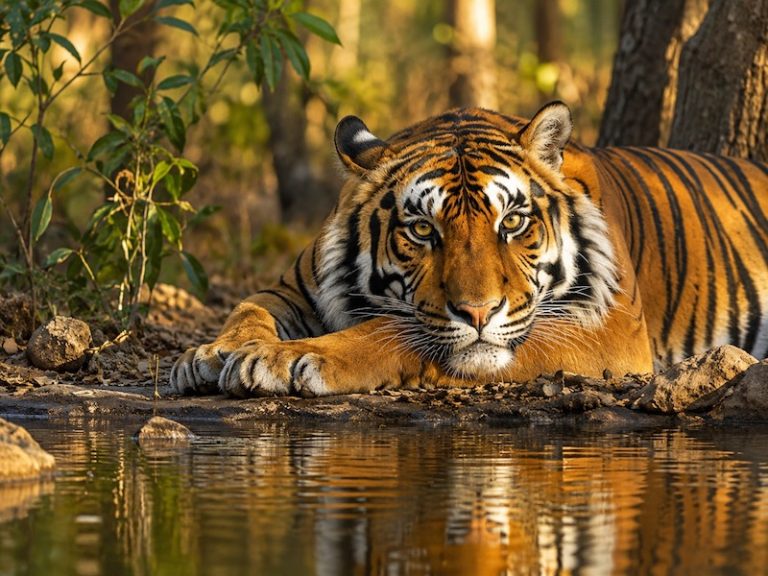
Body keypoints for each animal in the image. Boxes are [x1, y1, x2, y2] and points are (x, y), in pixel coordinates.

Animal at [170, 102, 768, 397]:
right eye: (421, 231)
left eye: (513, 222)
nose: (478, 313)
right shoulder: (293, 286)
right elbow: (248, 307)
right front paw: (208, 354)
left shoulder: (610, 327)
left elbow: (390, 332)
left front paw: (284, 358)